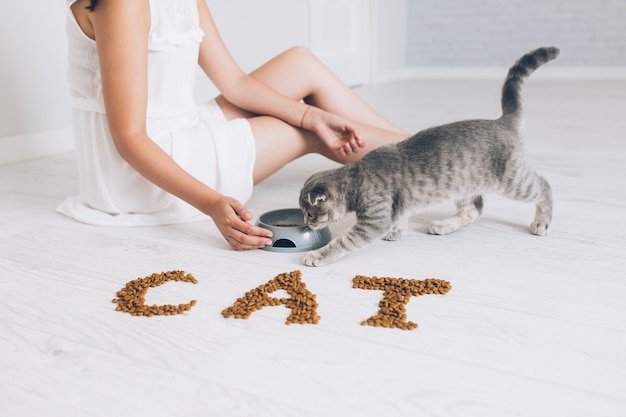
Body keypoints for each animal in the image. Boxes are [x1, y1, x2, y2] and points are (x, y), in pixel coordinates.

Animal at [298, 46, 556, 266]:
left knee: (544, 186)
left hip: (511, 180)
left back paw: (542, 221)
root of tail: (502, 121)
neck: (357, 177)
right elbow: (401, 215)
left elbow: (344, 241)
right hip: (463, 185)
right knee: (473, 210)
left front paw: (319, 255)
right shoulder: (396, 205)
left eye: (310, 214)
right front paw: (398, 230)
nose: (306, 224)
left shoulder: (373, 221)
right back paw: (444, 225)